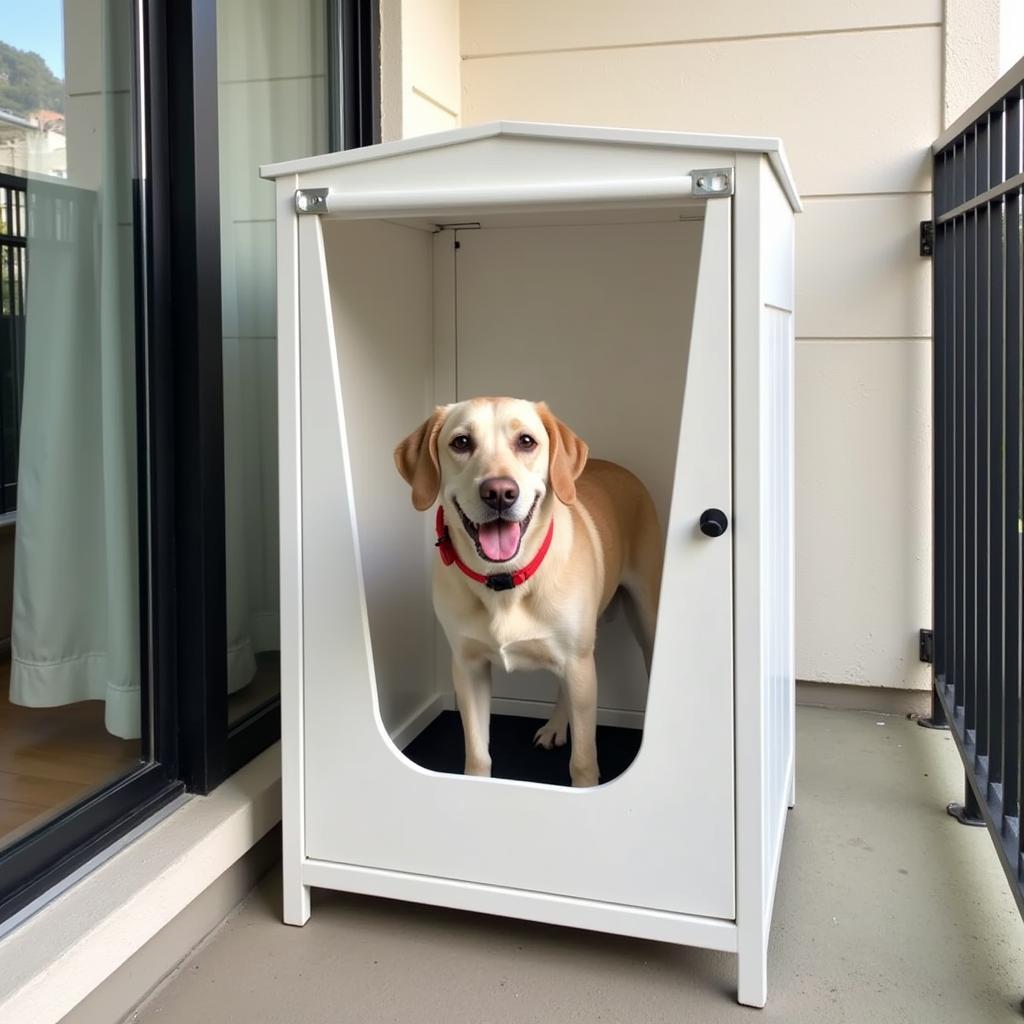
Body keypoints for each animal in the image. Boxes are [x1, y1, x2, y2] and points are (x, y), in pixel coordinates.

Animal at [391, 395, 663, 786]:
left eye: (526, 441)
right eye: (461, 442)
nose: (499, 494)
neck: (504, 579)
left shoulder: (579, 663)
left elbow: (583, 760)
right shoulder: (468, 668)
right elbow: (478, 756)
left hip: (642, 619)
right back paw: (556, 726)